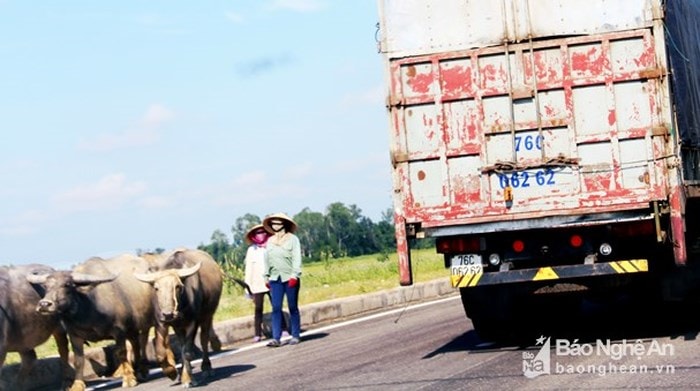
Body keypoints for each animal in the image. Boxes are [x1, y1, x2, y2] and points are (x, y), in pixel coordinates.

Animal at [29, 254, 175, 391]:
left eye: (67, 285)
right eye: (46, 286)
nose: (44, 304)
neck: (89, 309)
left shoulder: (119, 330)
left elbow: (121, 352)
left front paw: (128, 378)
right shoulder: (74, 335)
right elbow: (78, 360)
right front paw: (77, 385)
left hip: (153, 318)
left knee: (152, 339)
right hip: (132, 327)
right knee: (136, 343)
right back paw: (140, 370)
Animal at [135, 250, 223, 388]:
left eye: (177, 286)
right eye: (156, 288)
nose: (168, 314)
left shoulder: (192, 322)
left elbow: (187, 352)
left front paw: (188, 379)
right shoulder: (161, 323)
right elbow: (161, 353)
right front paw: (172, 372)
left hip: (207, 316)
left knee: (203, 340)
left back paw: (206, 368)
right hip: (179, 327)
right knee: (182, 344)